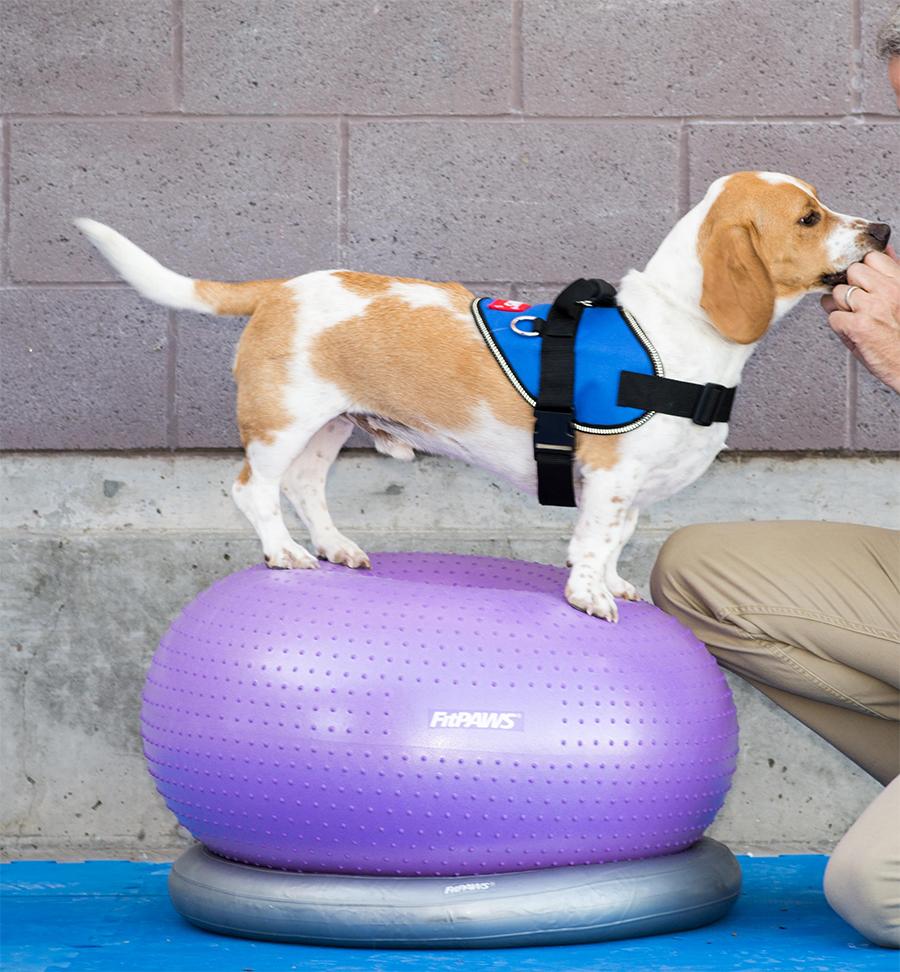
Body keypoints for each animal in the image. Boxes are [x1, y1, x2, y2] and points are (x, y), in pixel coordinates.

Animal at [79, 170, 892, 620]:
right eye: (809, 217)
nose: (883, 228)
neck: (678, 326)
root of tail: (278, 289)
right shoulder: (610, 479)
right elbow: (592, 542)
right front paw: (590, 595)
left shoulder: (629, 493)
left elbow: (615, 541)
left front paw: (613, 583)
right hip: (282, 424)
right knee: (254, 491)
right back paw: (285, 554)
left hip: (328, 428)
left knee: (307, 490)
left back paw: (336, 547)